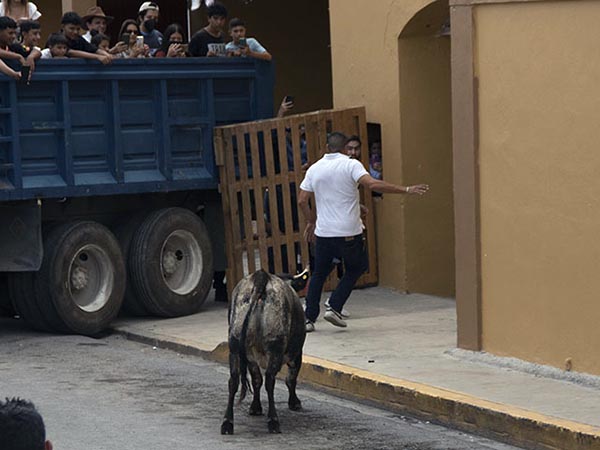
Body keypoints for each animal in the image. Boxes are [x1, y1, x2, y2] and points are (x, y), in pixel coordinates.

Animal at [220, 268, 304, 434]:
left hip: (234, 347)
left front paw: (255, 407)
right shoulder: (296, 354)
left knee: (233, 381)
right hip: (275, 348)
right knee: (270, 381)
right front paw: (294, 402)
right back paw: (273, 421)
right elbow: (291, 379)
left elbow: (256, 380)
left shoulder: (251, 358)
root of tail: (261, 277)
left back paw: (227, 423)